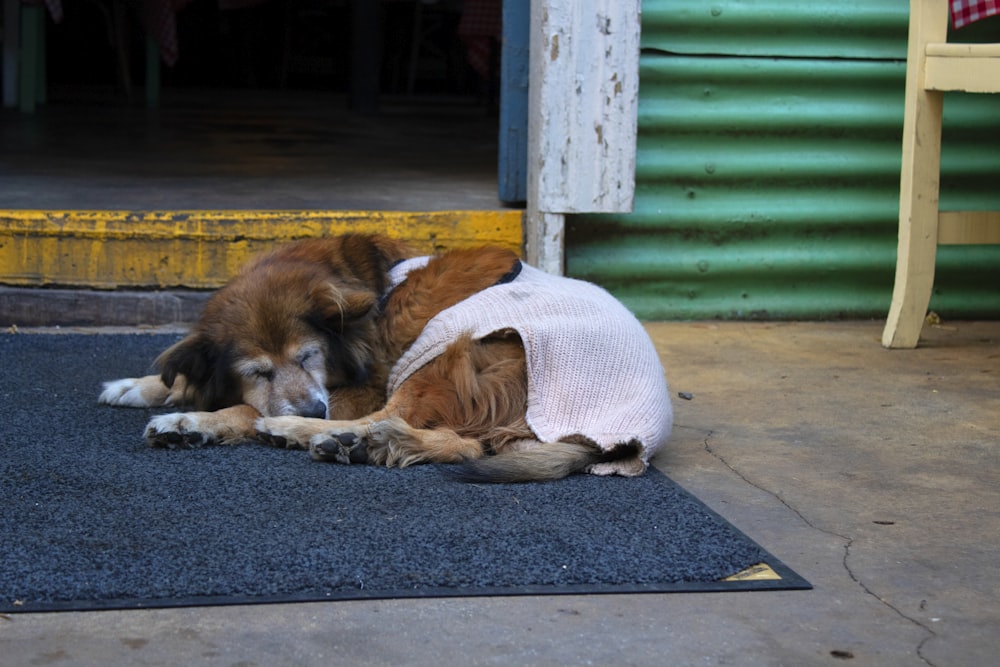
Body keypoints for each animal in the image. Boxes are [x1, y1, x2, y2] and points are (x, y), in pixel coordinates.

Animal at [101, 234, 672, 480]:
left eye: (309, 356)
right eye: (258, 371)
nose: (313, 408)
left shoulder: (359, 386)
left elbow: (244, 408)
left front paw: (192, 421)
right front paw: (139, 386)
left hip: (458, 350)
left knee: (420, 429)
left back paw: (323, 437)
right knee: (463, 444)